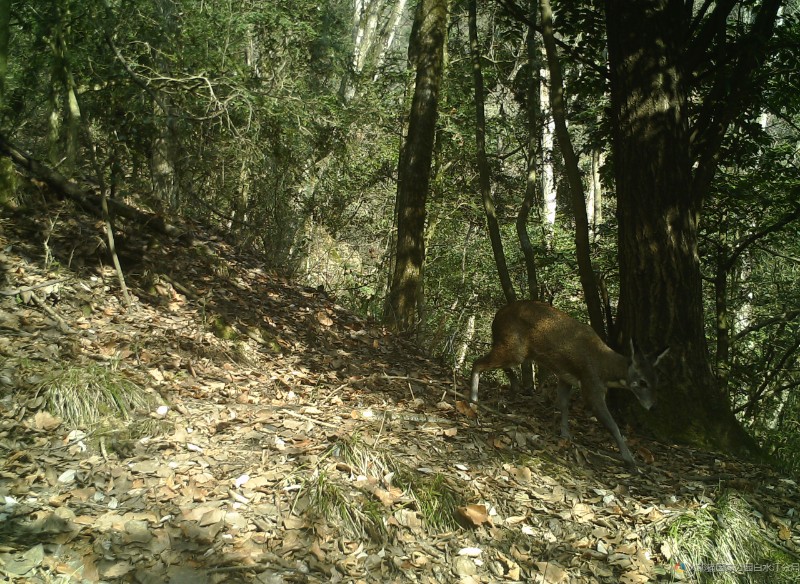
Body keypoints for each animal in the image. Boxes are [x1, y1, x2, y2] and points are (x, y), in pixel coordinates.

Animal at [468, 302, 668, 466]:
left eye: (657, 381)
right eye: (642, 382)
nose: (653, 406)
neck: (605, 369)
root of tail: (497, 316)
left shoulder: (566, 377)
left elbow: (563, 404)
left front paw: (565, 434)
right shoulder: (590, 385)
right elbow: (613, 425)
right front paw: (631, 461)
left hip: (515, 349)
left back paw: (514, 386)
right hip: (514, 347)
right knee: (477, 363)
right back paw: (473, 402)